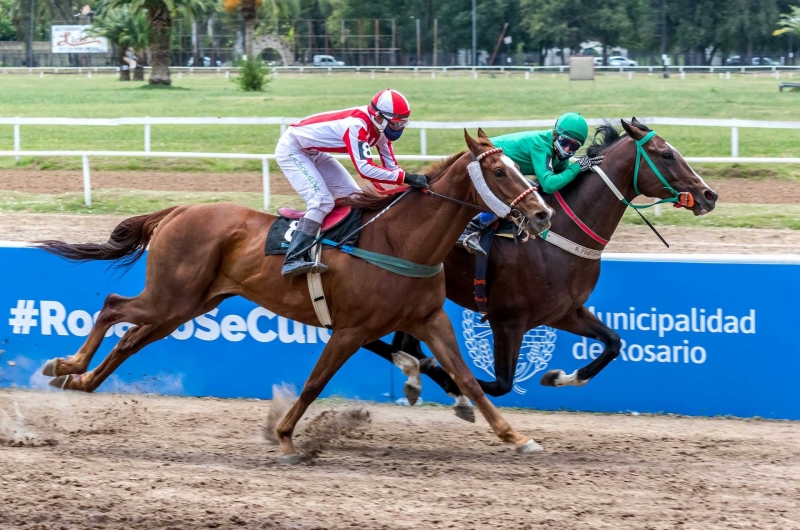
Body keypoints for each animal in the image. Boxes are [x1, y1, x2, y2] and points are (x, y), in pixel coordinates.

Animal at [34, 129, 552, 458]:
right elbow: (314, 382)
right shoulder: (352, 328)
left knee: (129, 338)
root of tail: (178, 211)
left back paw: (82, 382)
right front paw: (283, 437)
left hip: (186, 304)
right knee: (111, 307)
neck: (399, 241)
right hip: (170, 295)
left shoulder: (429, 319)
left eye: (517, 167)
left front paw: (516, 436)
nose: (543, 213)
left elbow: (467, 380)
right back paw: (66, 365)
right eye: (500, 172)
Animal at [362, 117, 720, 418]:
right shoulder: (507, 320)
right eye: (666, 155)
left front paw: (558, 377)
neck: (559, 235)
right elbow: (497, 383)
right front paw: (452, 385)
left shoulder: (564, 312)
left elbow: (613, 343)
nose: (709, 194)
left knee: (399, 344)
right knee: (397, 344)